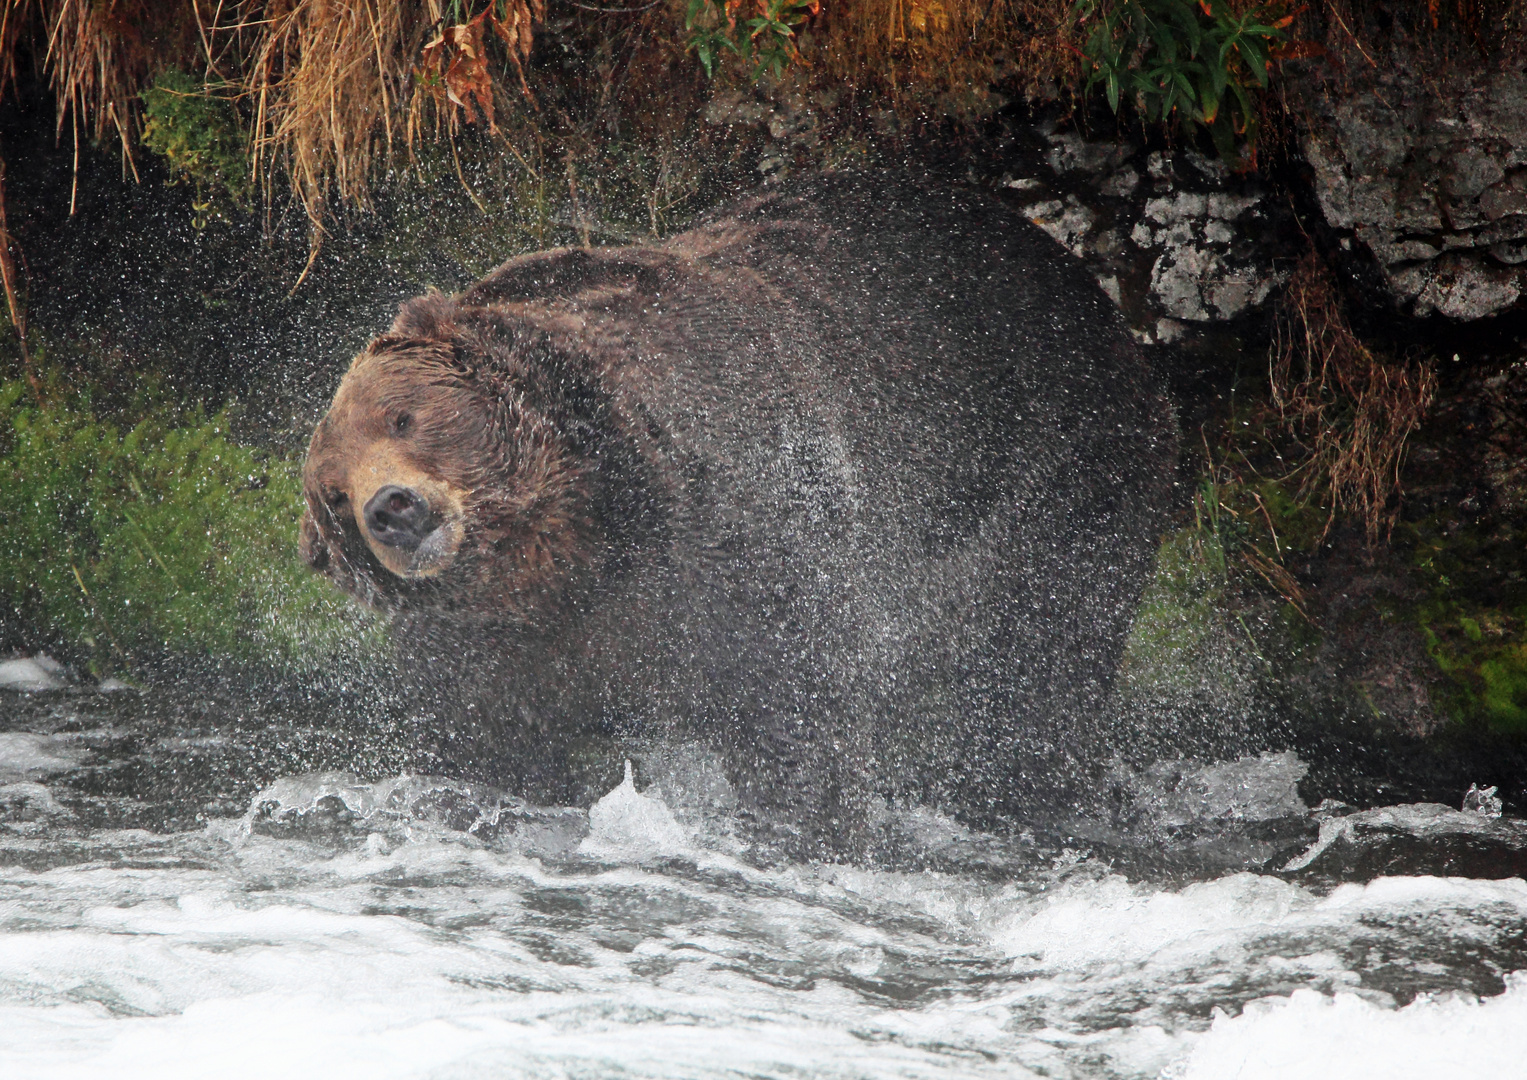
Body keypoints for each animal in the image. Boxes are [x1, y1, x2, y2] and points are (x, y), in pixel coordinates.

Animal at [300, 171, 1178, 855]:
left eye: (404, 417)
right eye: (332, 495)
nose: (392, 508)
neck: (580, 547)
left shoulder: (737, 514)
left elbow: (793, 705)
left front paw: (805, 827)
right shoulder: (490, 647)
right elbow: (485, 747)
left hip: (1058, 481)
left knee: (1041, 673)